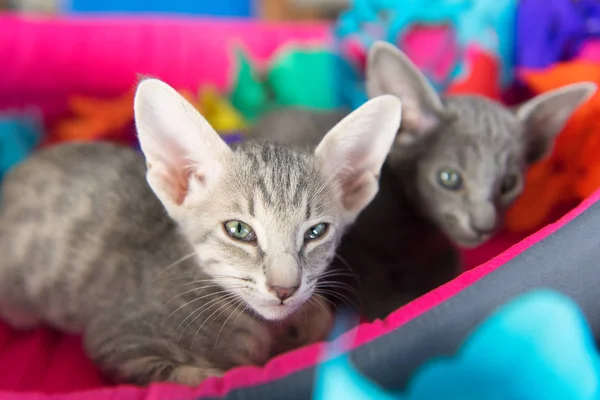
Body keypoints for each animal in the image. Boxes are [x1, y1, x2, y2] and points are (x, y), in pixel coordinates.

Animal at [0, 77, 404, 384]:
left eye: (315, 231)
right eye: (239, 230)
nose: (284, 289)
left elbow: (319, 314)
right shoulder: (118, 340)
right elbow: (203, 377)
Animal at [245, 42, 596, 320]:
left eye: (508, 184)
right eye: (449, 179)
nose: (483, 226)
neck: (415, 233)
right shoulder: (359, 251)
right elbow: (377, 291)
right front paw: (394, 308)